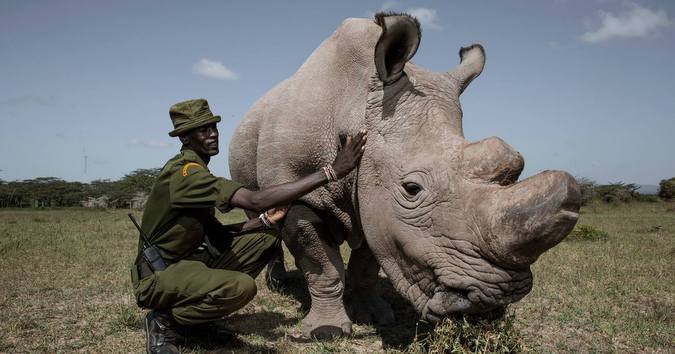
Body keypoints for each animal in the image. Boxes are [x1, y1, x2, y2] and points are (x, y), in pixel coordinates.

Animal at [231, 12, 580, 338]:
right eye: (412, 189)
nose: (492, 301)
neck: (357, 106)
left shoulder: (375, 198)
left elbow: (368, 262)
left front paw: (374, 316)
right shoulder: (300, 190)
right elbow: (323, 266)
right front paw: (325, 332)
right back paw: (279, 283)